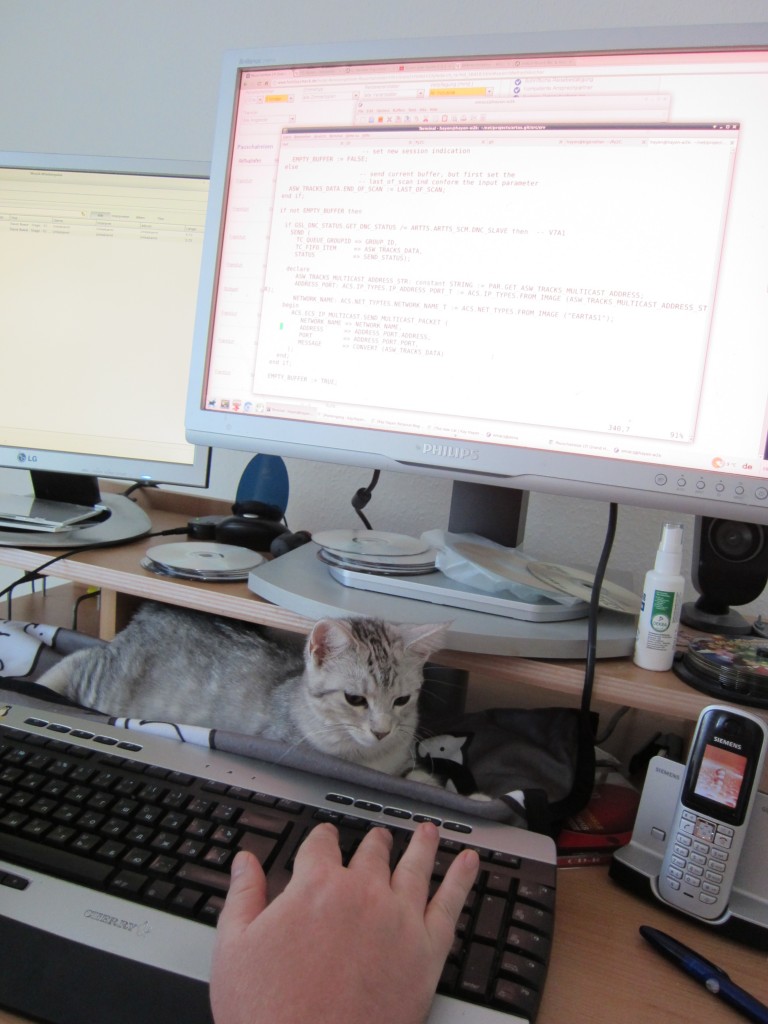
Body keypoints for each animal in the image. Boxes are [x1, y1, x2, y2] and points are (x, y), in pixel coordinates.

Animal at [39, 598, 450, 774]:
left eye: (402, 700)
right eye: (355, 699)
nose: (382, 731)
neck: (370, 758)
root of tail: (151, 612)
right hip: (107, 686)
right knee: (80, 657)